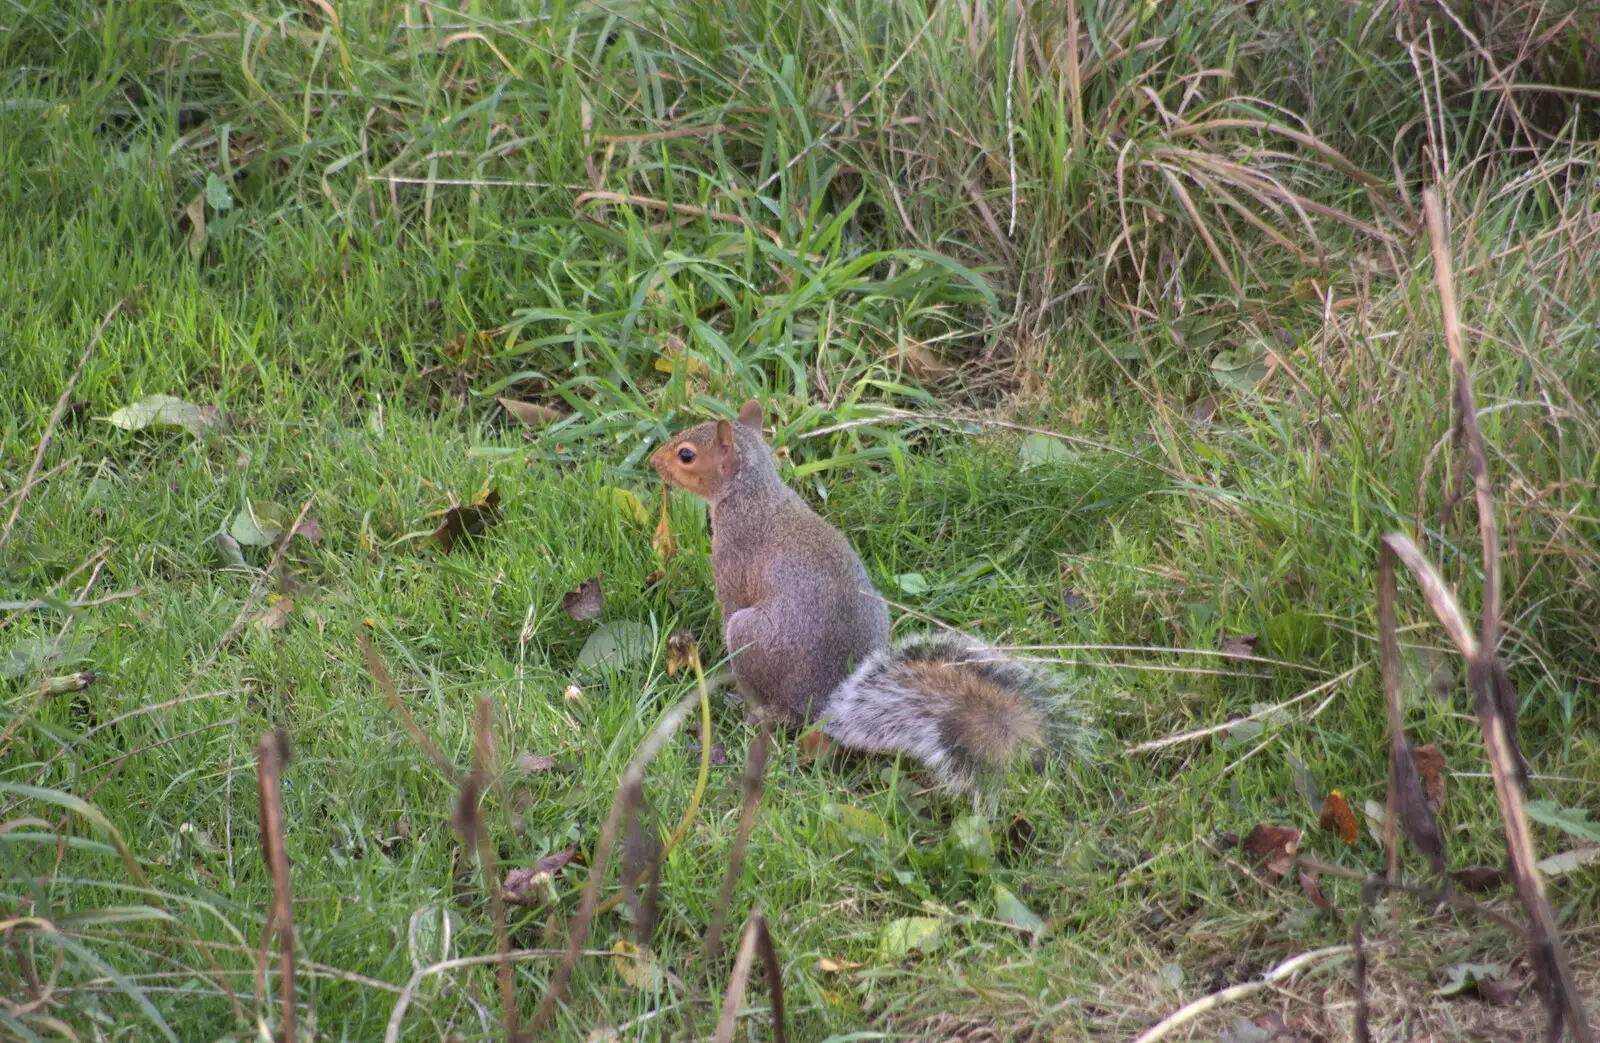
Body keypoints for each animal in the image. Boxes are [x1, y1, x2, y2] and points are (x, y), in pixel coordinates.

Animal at [646, 399, 1088, 790]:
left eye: (686, 455)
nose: (652, 461)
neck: (752, 493)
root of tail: (827, 706)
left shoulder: (733, 568)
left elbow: (727, 601)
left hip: (748, 638)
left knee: (772, 710)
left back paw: (745, 706)